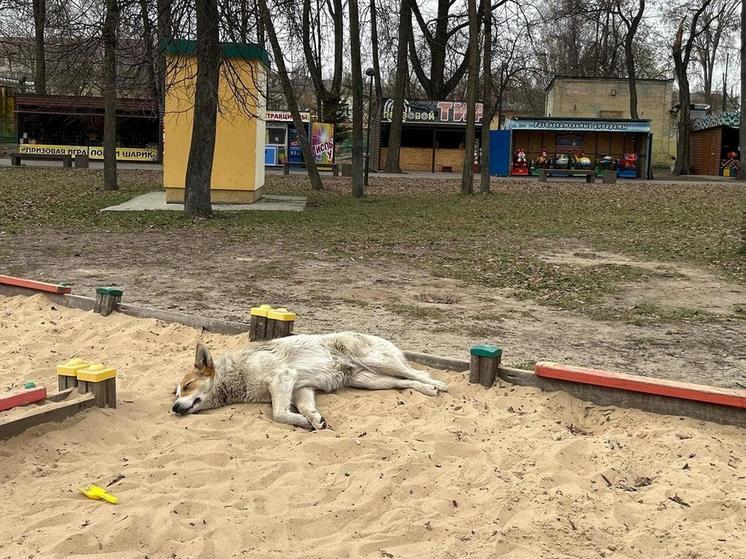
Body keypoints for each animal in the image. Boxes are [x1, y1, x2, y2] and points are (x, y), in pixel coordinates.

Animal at [171, 332, 444, 428]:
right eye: (176, 393)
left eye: (187, 386)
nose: (174, 407)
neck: (237, 374)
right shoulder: (302, 388)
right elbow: (305, 407)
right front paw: (312, 419)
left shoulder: (282, 378)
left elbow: (278, 414)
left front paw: (302, 421)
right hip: (368, 380)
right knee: (404, 382)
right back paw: (427, 390)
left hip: (377, 361)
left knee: (416, 372)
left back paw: (438, 384)